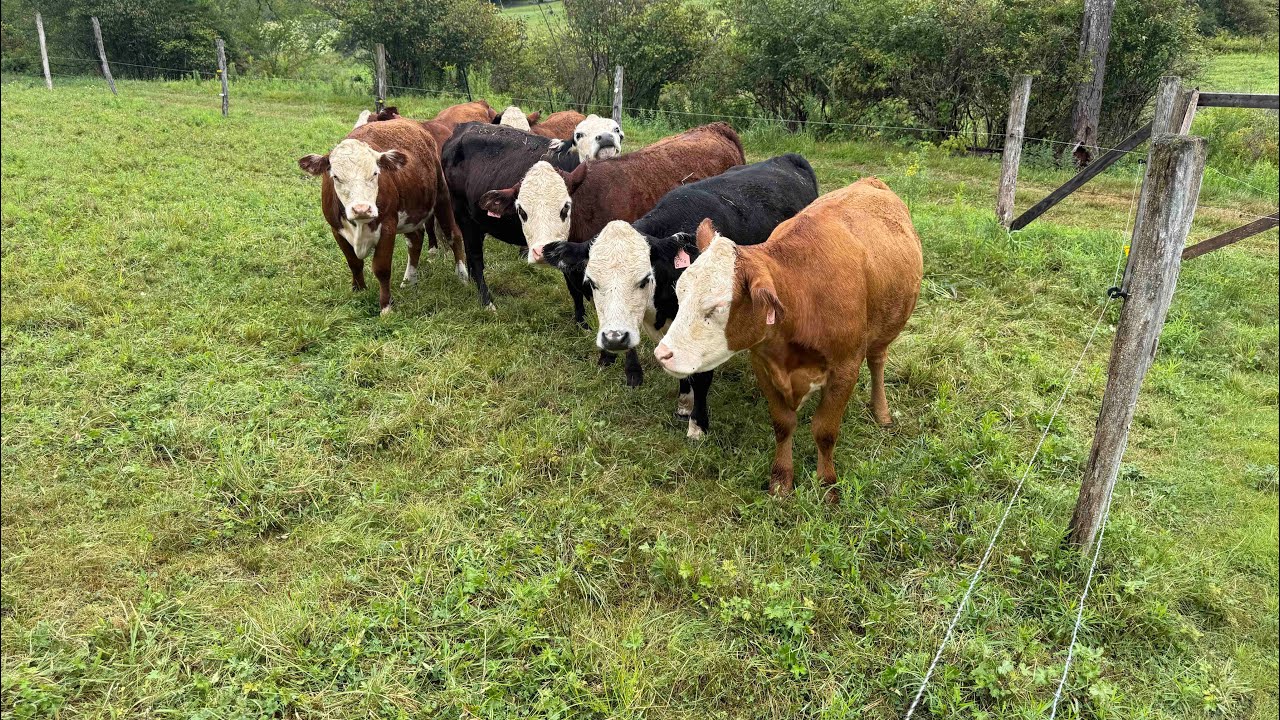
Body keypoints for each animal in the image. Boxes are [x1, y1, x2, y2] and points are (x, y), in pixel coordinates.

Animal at [298, 117, 467, 316]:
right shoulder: (336, 230)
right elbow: (354, 263)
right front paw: (359, 290)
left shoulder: (388, 226)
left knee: (453, 235)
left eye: (375, 173)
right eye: (336, 177)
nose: (361, 208)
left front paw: (386, 306)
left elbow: (382, 269)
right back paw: (409, 280)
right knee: (415, 241)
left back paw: (462, 276)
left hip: (442, 197)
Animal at [475, 122, 744, 337]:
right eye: (521, 210)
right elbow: (575, 293)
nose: (541, 250)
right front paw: (581, 324)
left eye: (565, 207)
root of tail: (716, 126)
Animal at [541, 154, 818, 438]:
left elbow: (701, 375)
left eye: (644, 279)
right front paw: (685, 403)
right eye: (591, 282)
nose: (615, 338)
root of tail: (788, 158)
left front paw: (697, 423)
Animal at [653, 178, 923, 502]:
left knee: (878, 361)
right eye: (679, 292)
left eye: (717, 307)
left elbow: (825, 430)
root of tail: (870, 182)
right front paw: (781, 480)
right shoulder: (763, 365)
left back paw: (881, 411)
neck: (803, 295)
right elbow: (783, 425)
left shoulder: (845, 369)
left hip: (886, 328)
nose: (663, 353)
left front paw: (827, 483)